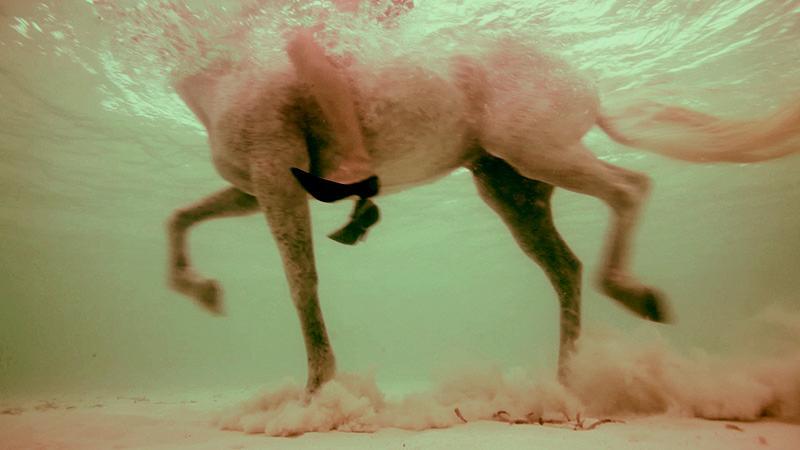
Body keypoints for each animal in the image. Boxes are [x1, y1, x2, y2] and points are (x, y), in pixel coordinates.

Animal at [166, 42, 800, 394]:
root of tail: (587, 85)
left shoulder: (276, 178)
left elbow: (301, 282)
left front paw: (317, 393)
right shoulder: (251, 189)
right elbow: (180, 216)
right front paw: (200, 290)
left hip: (534, 151)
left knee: (629, 189)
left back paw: (632, 295)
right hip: (511, 189)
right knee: (565, 267)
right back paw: (567, 382)